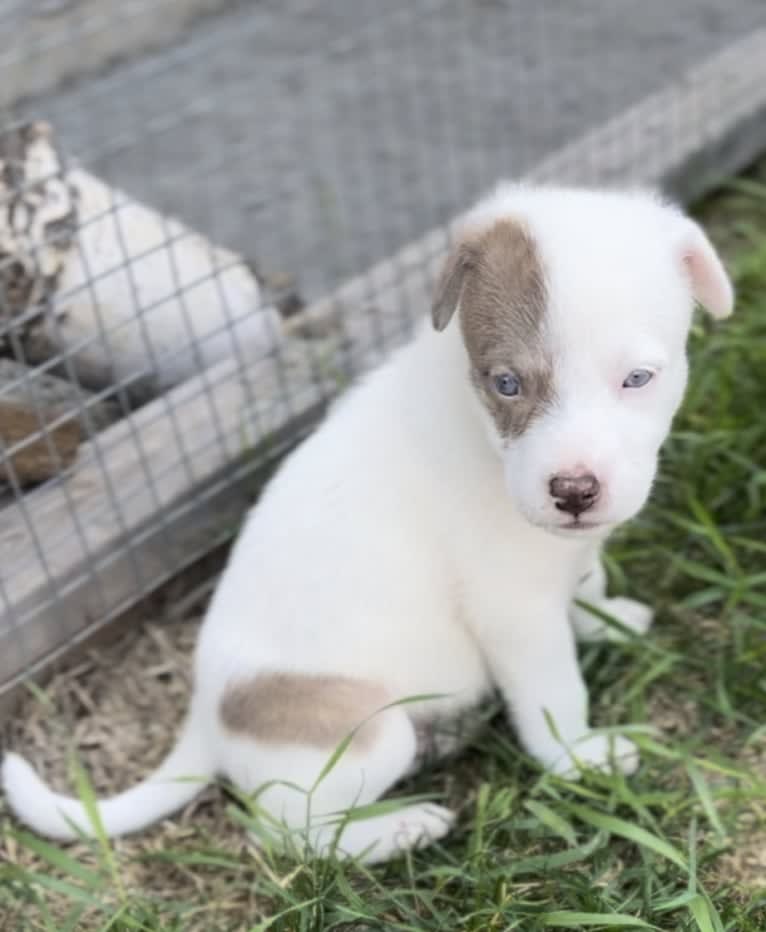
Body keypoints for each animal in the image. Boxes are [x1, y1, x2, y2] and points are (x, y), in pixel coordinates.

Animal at [6, 184, 736, 868]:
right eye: (505, 383)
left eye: (637, 379)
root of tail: (208, 716)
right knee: (293, 833)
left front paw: (607, 619)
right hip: (372, 735)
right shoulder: (515, 614)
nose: (574, 492)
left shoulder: (566, 558)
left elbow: (588, 583)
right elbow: (555, 695)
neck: (474, 421)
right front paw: (580, 757)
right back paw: (402, 829)